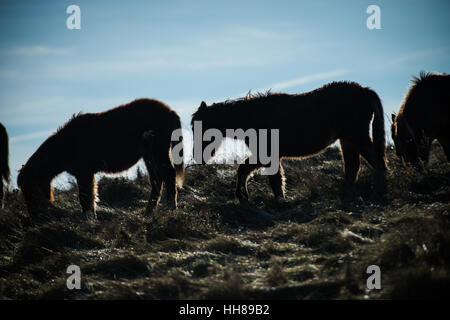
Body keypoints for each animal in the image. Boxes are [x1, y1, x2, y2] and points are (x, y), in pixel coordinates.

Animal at [17, 99, 183, 219]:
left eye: (29, 189)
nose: (34, 217)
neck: (67, 144)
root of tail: (171, 112)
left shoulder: (84, 173)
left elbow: (86, 198)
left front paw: (90, 219)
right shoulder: (85, 173)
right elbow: (88, 197)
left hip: (158, 151)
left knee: (168, 175)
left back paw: (171, 209)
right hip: (149, 156)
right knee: (157, 181)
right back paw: (148, 213)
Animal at [191, 82, 386, 202]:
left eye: (200, 127)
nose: (197, 157)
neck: (251, 116)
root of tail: (363, 90)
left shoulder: (266, 154)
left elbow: (250, 171)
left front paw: (244, 196)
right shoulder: (269, 156)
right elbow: (272, 178)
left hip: (357, 136)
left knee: (377, 162)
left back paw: (380, 189)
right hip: (347, 140)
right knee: (353, 166)